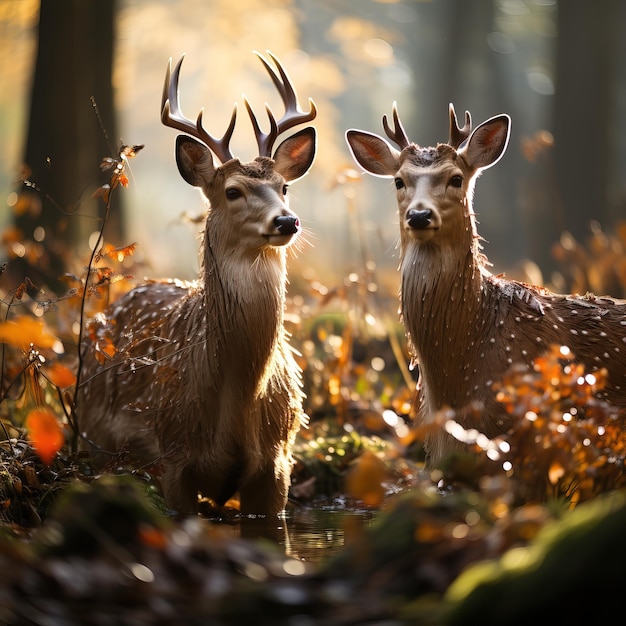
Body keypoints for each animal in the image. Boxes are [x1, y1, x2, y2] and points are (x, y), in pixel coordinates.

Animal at [75, 50, 314, 516]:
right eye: (233, 191)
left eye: (284, 187)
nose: (287, 221)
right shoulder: (173, 456)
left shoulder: (279, 461)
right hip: (95, 441)